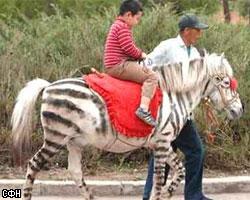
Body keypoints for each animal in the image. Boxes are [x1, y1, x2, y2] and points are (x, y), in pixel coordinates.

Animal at [10, 52, 243, 199]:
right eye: (226, 83)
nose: (239, 110)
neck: (174, 96)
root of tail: (49, 86)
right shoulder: (161, 143)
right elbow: (160, 179)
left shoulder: (163, 143)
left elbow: (179, 172)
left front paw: (167, 194)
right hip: (56, 137)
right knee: (33, 165)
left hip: (74, 141)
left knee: (75, 172)